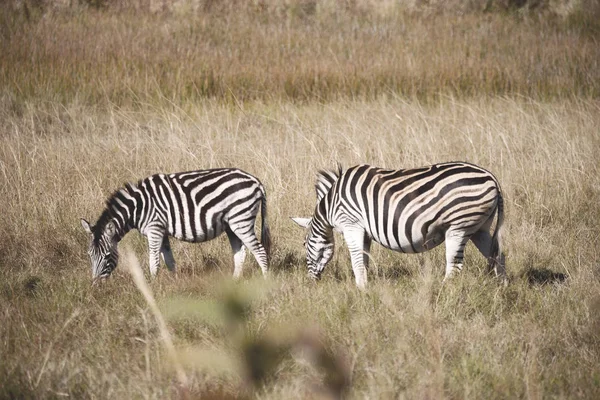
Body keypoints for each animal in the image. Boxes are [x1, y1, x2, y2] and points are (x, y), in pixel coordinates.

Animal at [79, 168, 270, 282]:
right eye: (89, 255)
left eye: (107, 255)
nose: (95, 285)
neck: (138, 207)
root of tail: (255, 180)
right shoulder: (162, 231)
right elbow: (169, 260)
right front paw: (174, 283)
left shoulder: (155, 228)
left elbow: (153, 260)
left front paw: (152, 286)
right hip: (231, 225)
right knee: (240, 254)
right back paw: (234, 283)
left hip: (241, 219)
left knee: (260, 251)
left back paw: (266, 281)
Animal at [292, 161, 504, 290]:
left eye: (304, 244)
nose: (310, 283)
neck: (330, 205)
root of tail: (491, 177)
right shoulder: (364, 231)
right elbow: (364, 259)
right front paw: (365, 288)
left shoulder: (351, 224)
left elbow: (356, 260)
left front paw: (360, 290)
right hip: (480, 229)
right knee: (498, 256)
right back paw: (502, 288)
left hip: (459, 227)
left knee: (455, 266)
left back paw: (442, 291)